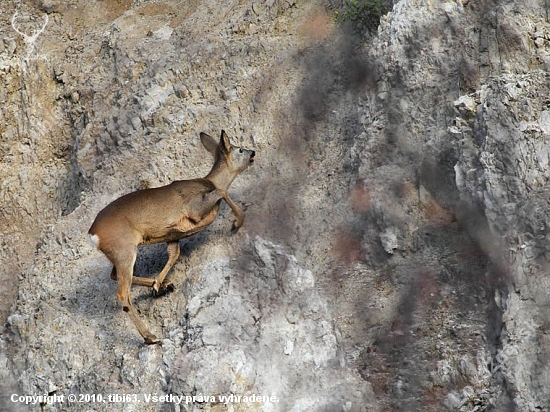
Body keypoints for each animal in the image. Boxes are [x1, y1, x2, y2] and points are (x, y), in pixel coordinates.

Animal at [89, 130, 256, 342]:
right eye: (240, 149)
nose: (253, 152)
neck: (208, 182)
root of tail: (93, 233)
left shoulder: (173, 234)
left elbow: (174, 254)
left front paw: (158, 282)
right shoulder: (194, 209)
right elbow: (222, 191)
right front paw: (238, 222)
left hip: (118, 253)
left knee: (114, 276)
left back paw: (163, 286)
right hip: (124, 250)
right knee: (122, 295)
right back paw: (150, 337)